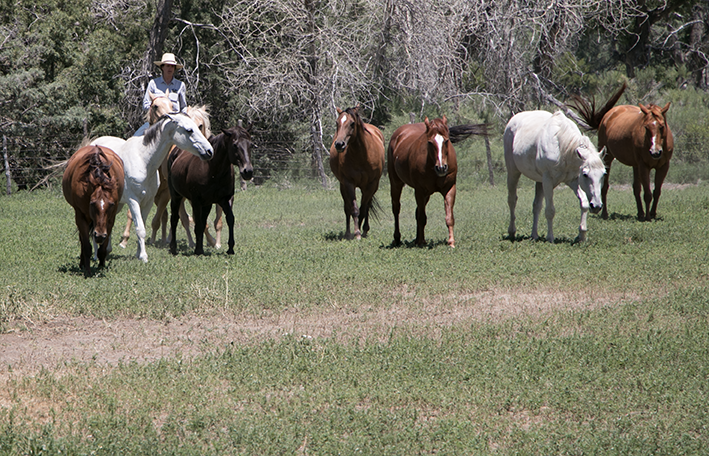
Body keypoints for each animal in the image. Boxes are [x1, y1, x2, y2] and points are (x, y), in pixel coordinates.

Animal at [62, 146, 124, 276]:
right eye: (92, 203)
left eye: (111, 204)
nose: (99, 235)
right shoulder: (80, 216)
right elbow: (86, 246)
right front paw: (87, 270)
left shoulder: (110, 219)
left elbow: (103, 247)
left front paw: (101, 266)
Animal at [167, 124, 253, 256]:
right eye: (235, 145)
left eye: (250, 144)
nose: (247, 171)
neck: (212, 170)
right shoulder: (196, 201)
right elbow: (197, 224)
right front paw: (198, 250)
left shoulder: (226, 199)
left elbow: (230, 219)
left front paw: (230, 249)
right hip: (176, 196)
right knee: (175, 219)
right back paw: (173, 247)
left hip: (206, 204)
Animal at [330, 105, 384, 240]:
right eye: (337, 123)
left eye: (352, 123)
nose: (339, 144)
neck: (361, 155)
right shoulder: (349, 183)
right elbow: (354, 209)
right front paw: (356, 232)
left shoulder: (371, 185)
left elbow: (364, 209)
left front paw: (360, 230)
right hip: (343, 186)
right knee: (347, 208)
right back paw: (348, 232)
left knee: (367, 206)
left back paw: (364, 229)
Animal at [388, 116, 460, 248]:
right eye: (430, 142)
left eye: (446, 140)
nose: (441, 168)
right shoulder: (420, 191)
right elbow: (422, 217)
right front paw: (421, 242)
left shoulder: (449, 188)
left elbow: (449, 217)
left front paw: (451, 242)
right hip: (396, 183)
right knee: (396, 209)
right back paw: (397, 238)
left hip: (426, 194)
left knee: (417, 211)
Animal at [568, 85, 672, 223]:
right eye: (646, 127)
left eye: (662, 126)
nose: (655, 152)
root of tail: (609, 114)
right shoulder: (644, 166)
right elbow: (648, 193)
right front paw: (648, 217)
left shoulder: (663, 166)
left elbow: (656, 191)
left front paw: (652, 214)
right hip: (608, 158)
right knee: (605, 187)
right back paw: (605, 214)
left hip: (635, 165)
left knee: (636, 188)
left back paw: (640, 213)